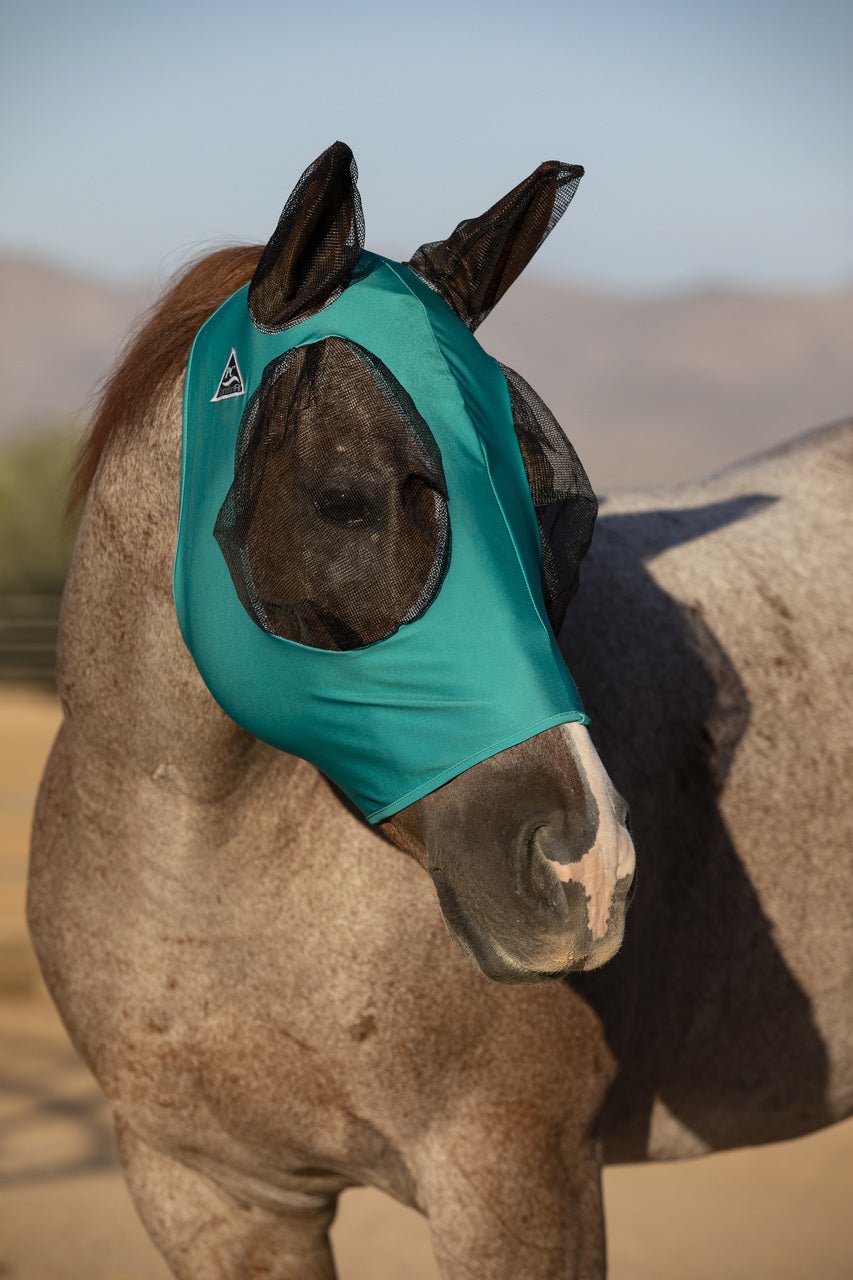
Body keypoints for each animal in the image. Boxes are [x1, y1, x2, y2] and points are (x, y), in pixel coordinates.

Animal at [28, 143, 851, 1278]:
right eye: (344, 500)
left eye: (567, 516)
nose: (586, 868)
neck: (197, 886)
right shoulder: (213, 1194)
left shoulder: (513, 1177)